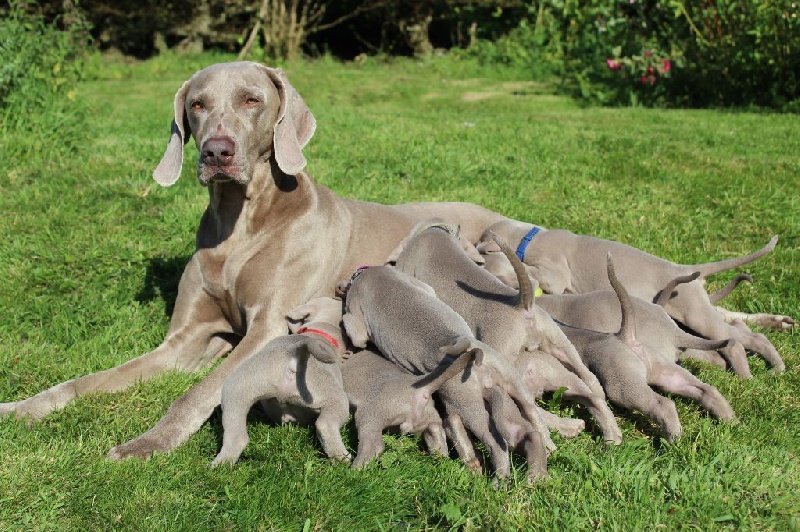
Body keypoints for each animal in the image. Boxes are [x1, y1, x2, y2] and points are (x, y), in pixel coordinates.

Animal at [0, 59, 506, 458]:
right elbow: (87, 380)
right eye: (197, 104)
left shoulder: (267, 327)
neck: (239, 222)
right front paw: (22, 408)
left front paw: (150, 442)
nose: (216, 152)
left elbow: (199, 391)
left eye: (251, 100)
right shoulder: (185, 341)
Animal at [340, 268, 552, 480]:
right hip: (508, 377)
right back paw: (547, 452)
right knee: (530, 409)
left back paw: (499, 479)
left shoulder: (355, 316)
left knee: (495, 442)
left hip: (466, 404)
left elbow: (355, 334)